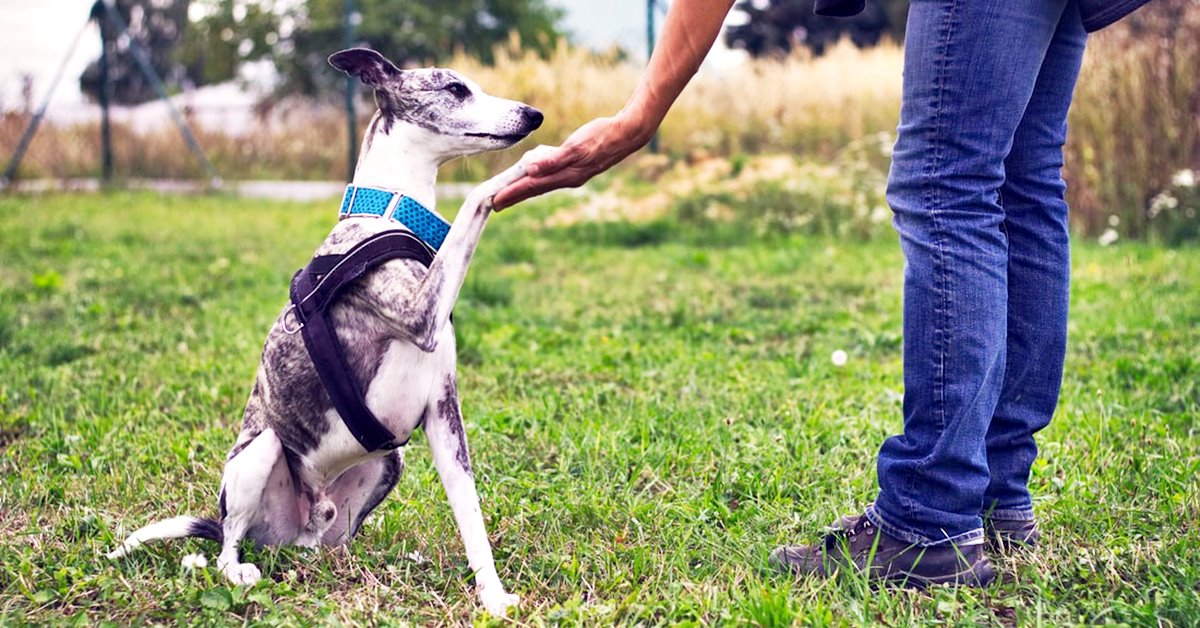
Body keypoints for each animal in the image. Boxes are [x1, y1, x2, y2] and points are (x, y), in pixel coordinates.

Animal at [108, 48, 549, 614]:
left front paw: (492, 596)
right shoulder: (420, 313)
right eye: (456, 89)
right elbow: (476, 195)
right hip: (261, 451)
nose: (533, 115)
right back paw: (237, 567)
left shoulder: (442, 410)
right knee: (228, 545)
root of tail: (295, 531)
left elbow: (470, 512)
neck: (389, 214)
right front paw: (531, 162)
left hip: (388, 464)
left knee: (333, 547)